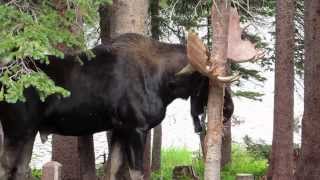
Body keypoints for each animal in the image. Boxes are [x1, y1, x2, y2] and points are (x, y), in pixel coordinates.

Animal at [0, 33, 232, 180]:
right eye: (206, 79)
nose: (229, 109)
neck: (164, 85)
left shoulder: (120, 129)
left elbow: (112, 169)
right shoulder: (137, 128)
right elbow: (136, 173)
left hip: (29, 131)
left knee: (20, 170)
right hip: (15, 130)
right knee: (5, 169)